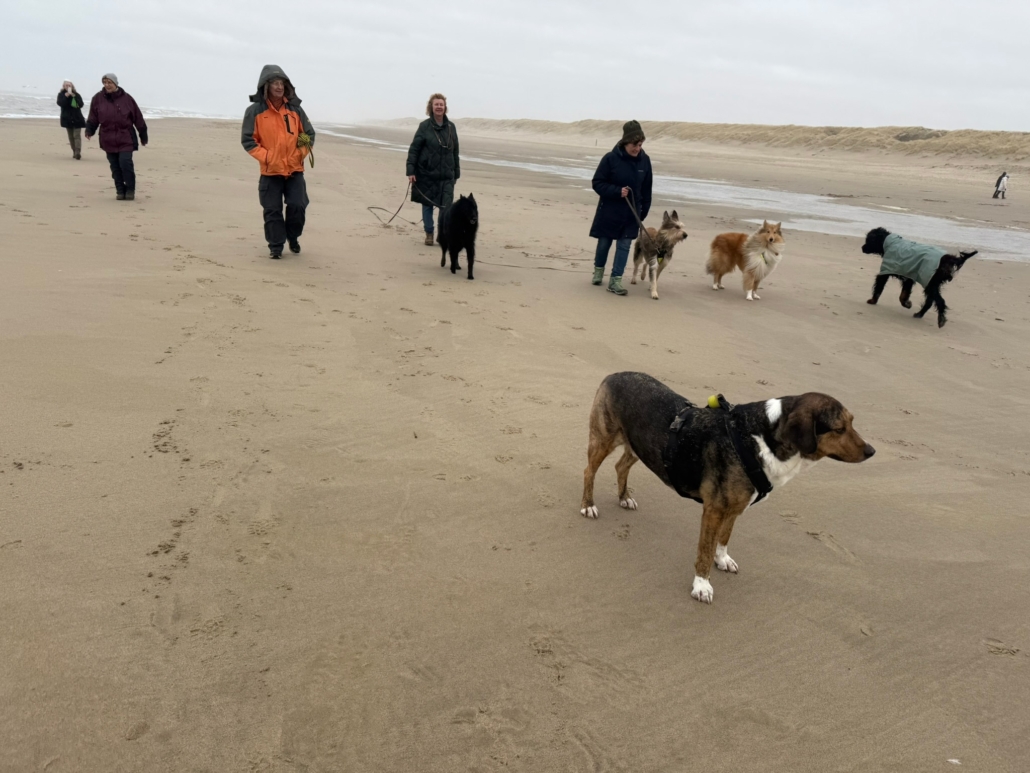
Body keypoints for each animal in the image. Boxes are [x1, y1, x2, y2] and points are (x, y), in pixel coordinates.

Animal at [579, 372, 874, 604]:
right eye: (839, 429)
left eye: (852, 423)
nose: (872, 451)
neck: (760, 438)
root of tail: (613, 375)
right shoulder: (713, 510)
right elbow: (705, 550)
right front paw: (702, 585)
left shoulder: (735, 508)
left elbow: (723, 539)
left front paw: (722, 561)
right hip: (603, 439)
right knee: (589, 471)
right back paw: (588, 505)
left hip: (641, 447)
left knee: (621, 466)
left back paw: (624, 497)